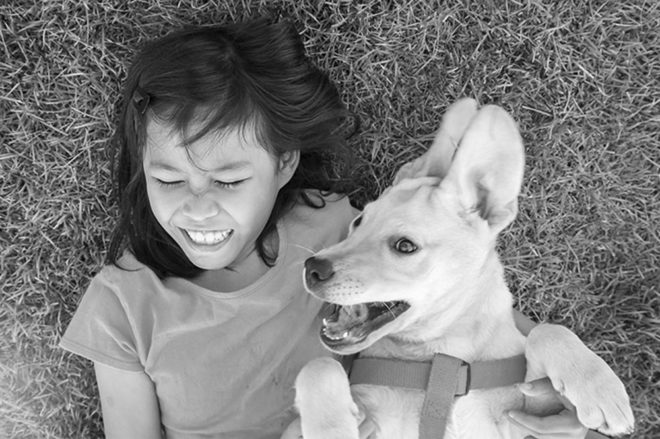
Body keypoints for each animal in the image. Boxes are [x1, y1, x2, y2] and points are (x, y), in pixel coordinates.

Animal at [288, 99, 636, 439]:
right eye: (359, 221)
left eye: (405, 246)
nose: (312, 268)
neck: (445, 360)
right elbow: (319, 366)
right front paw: (329, 428)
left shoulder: (529, 416)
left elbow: (548, 331)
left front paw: (598, 388)